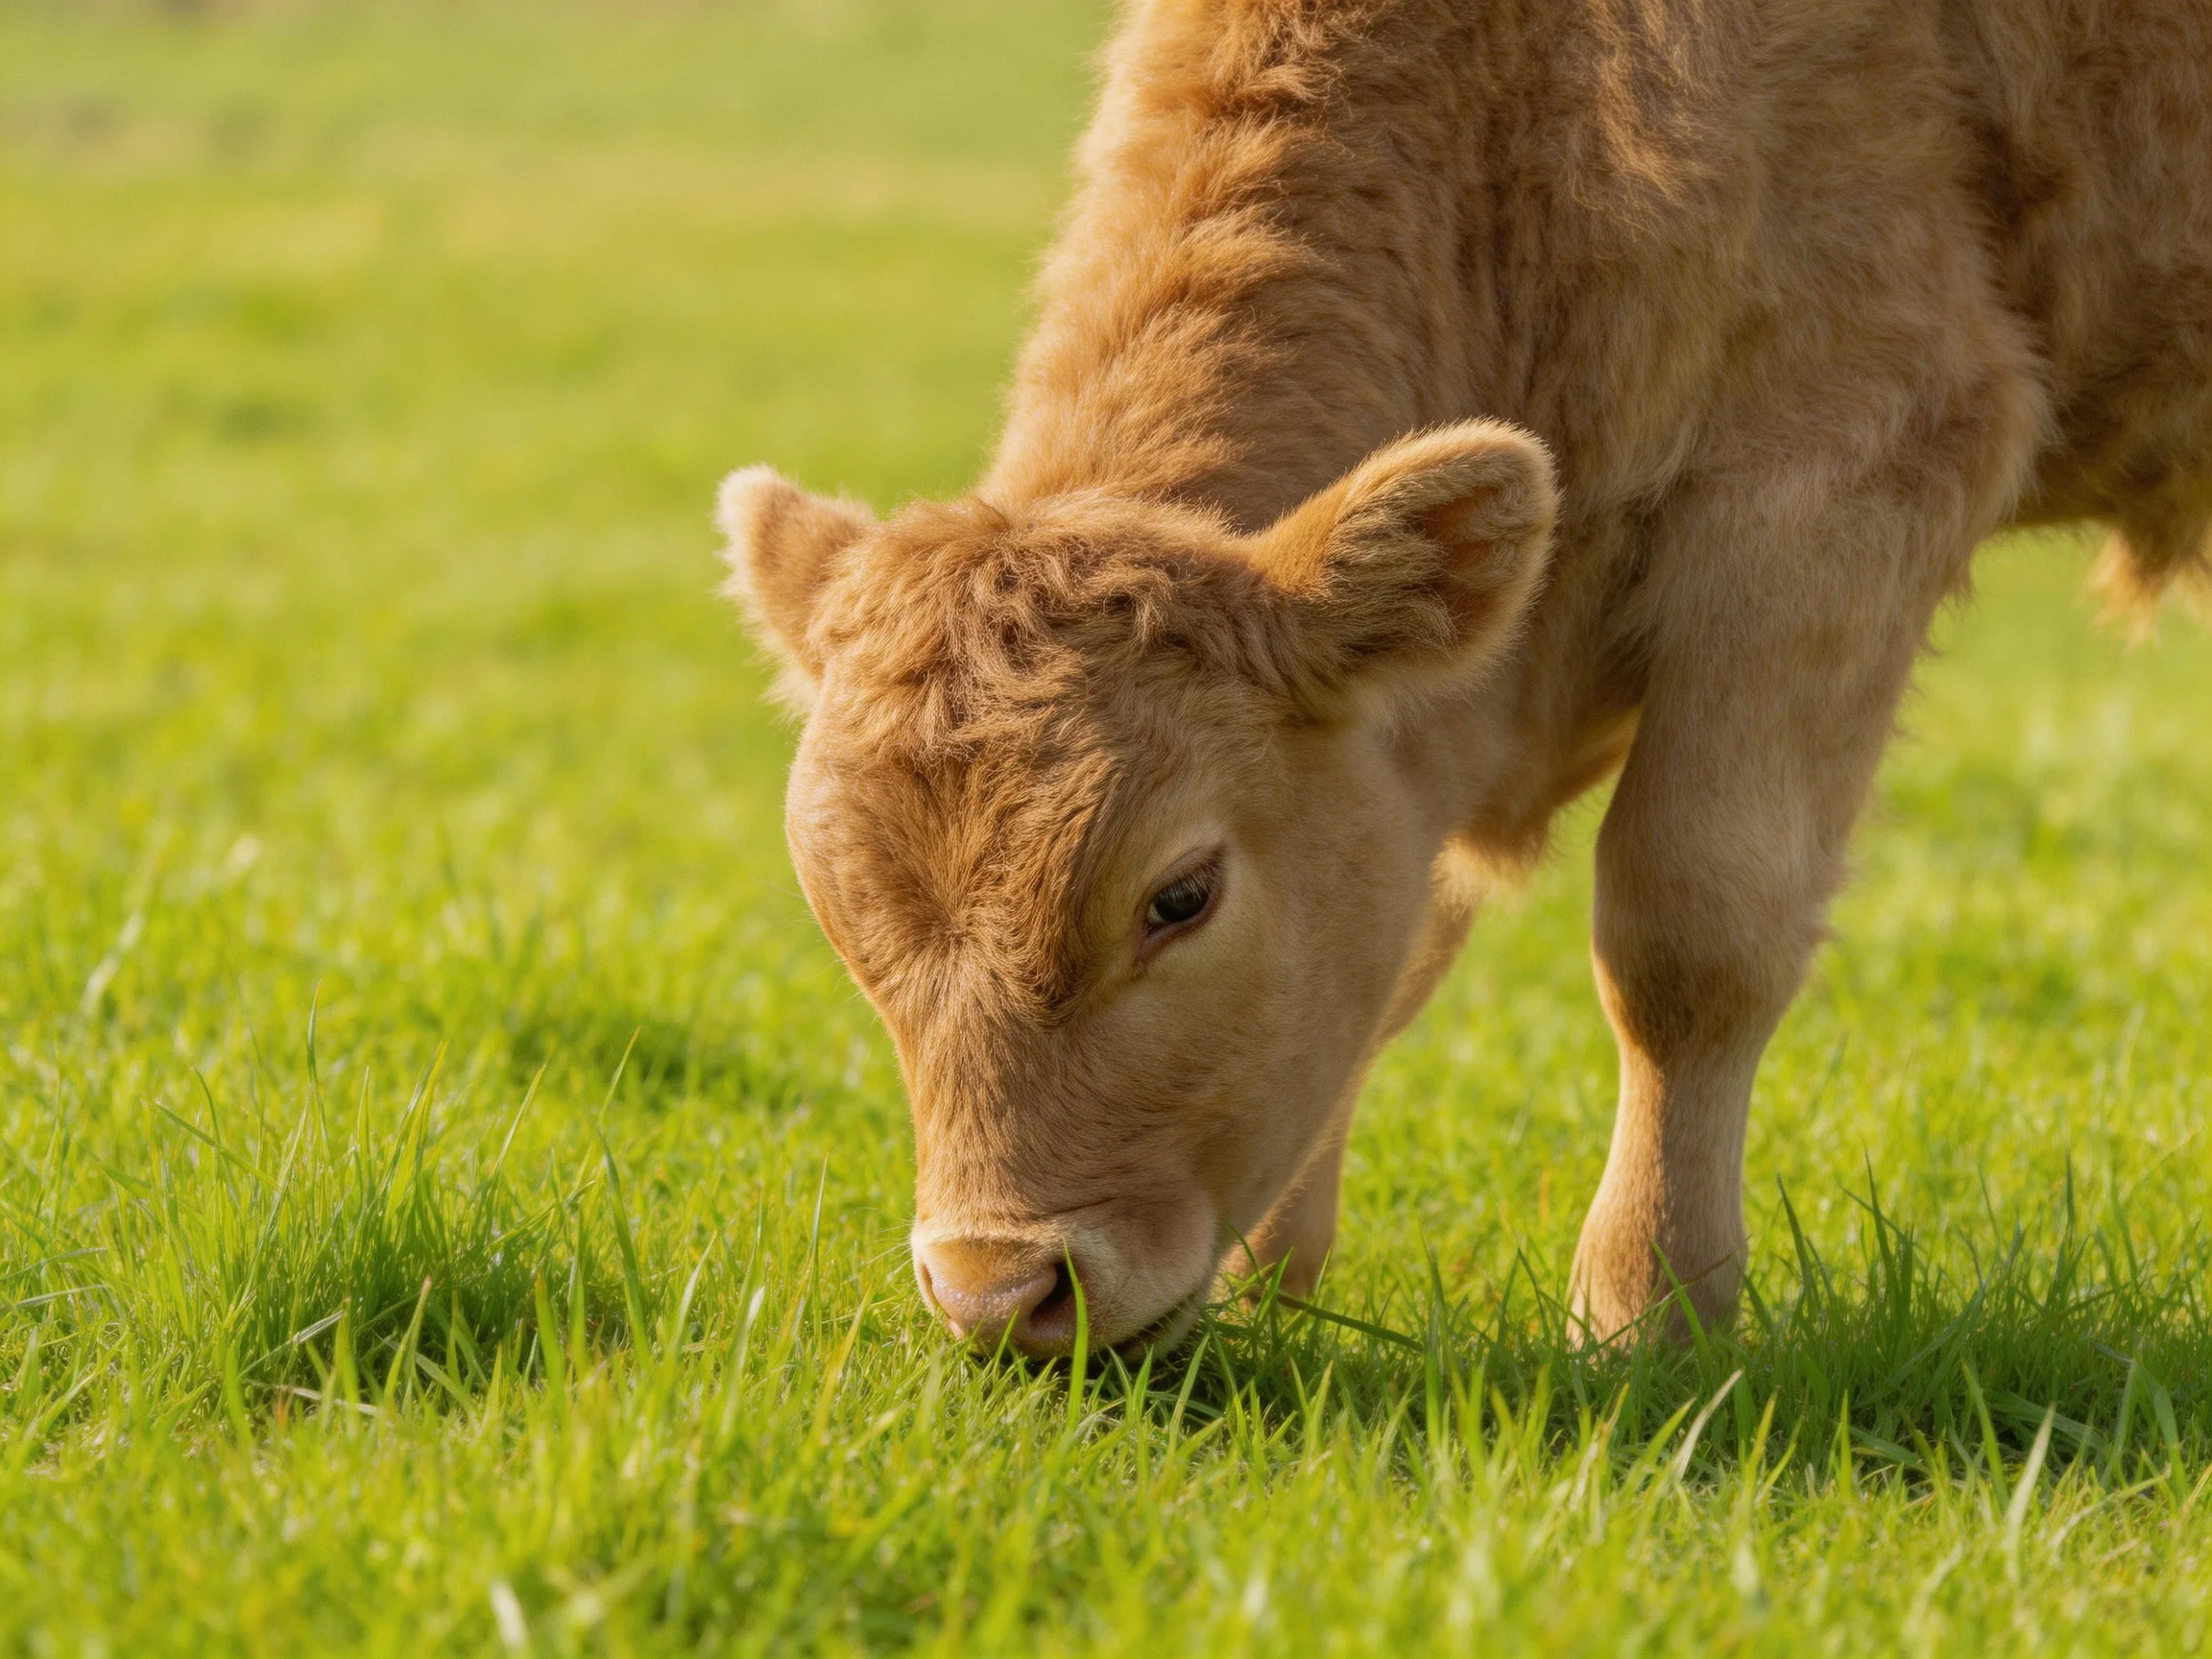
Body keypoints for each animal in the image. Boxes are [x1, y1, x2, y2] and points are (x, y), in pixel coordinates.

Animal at [717, 0, 2212, 1355]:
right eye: (842, 915)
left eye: (1179, 896)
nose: (996, 1290)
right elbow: (1399, 953)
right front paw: (1268, 1283)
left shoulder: (1844, 482)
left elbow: (1693, 935)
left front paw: (1648, 1319)